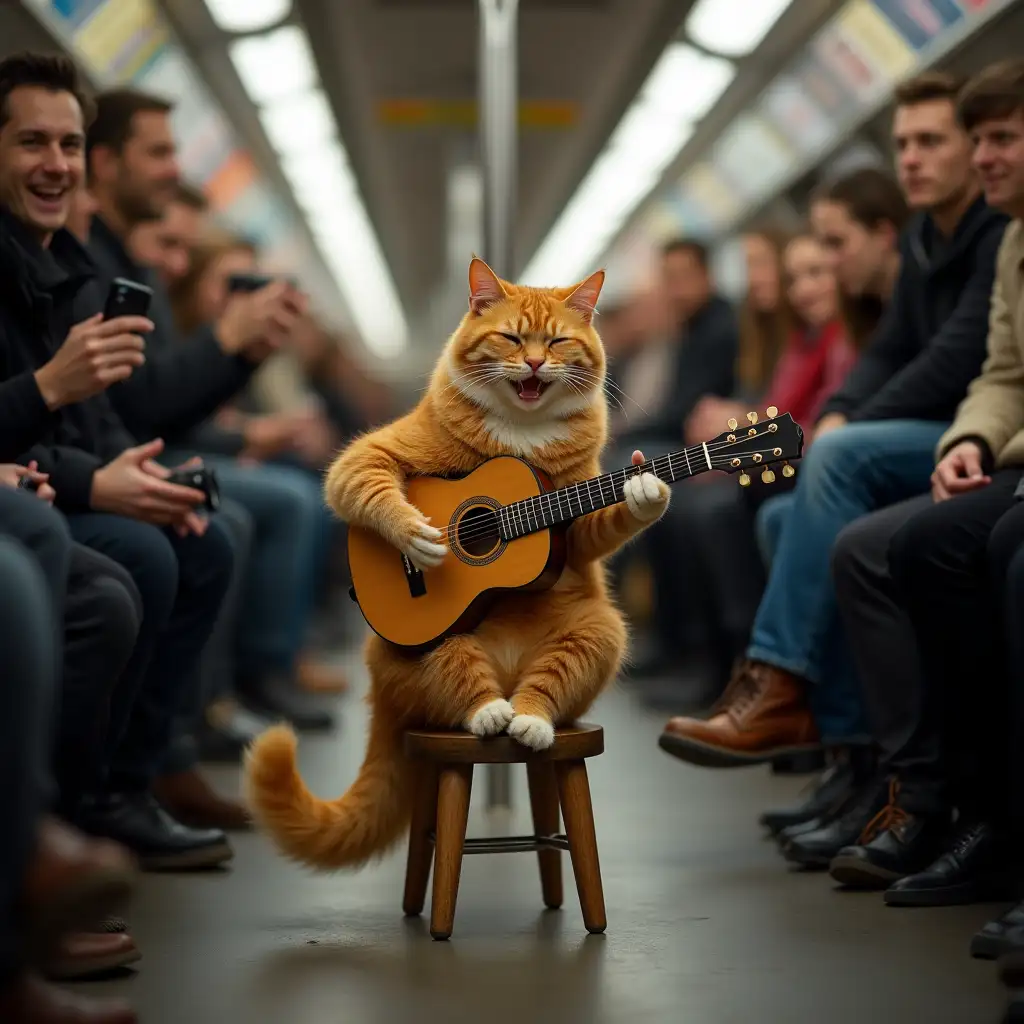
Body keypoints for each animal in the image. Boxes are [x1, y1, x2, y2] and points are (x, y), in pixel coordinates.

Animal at [242, 260, 667, 868]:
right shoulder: (370, 453)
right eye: (511, 338)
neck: (522, 431)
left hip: (600, 629)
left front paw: (645, 490)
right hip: (425, 649)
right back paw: (488, 711)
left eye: (558, 341)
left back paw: (531, 719)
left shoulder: (575, 522)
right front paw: (416, 539)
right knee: (456, 680)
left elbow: (596, 531)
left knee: (554, 680)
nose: (534, 363)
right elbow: (360, 479)